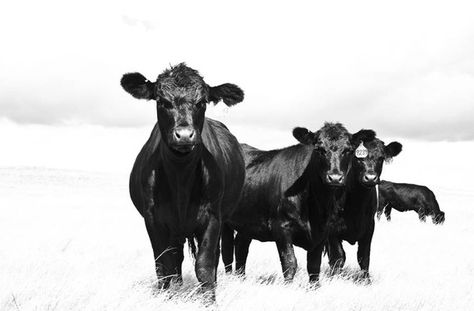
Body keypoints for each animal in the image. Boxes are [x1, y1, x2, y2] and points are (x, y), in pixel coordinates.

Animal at [120, 63, 246, 298]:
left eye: (202, 102)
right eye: (162, 101)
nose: (185, 135)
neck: (181, 180)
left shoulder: (213, 217)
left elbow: (205, 265)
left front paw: (209, 300)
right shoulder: (153, 219)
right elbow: (163, 265)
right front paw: (165, 296)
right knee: (175, 258)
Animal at [326, 133, 404, 282]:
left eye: (381, 158)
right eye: (357, 158)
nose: (370, 178)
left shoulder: (369, 227)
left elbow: (363, 256)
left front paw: (366, 280)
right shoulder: (332, 230)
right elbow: (338, 256)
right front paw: (334, 278)